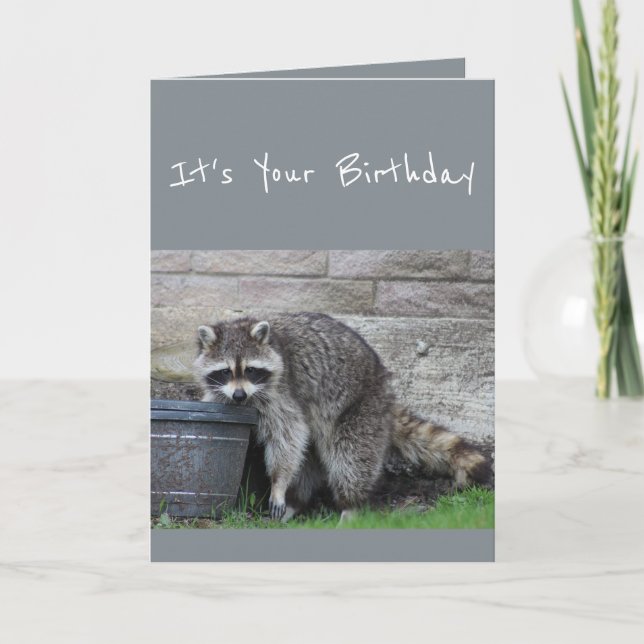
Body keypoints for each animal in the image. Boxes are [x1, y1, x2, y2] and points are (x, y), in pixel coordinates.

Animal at [194, 312, 491, 520]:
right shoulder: (224, 393)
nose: (239, 396)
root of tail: (385, 387)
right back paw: (297, 501)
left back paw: (349, 504)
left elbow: (288, 437)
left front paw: (278, 484)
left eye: (251, 370)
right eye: (225, 371)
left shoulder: (282, 393)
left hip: (361, 408)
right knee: (310, 459)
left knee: (350, 457)